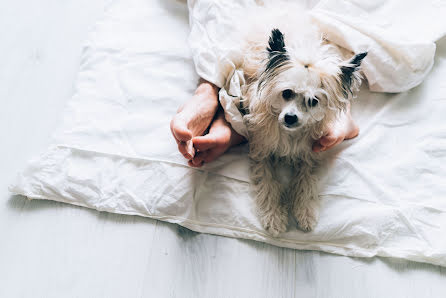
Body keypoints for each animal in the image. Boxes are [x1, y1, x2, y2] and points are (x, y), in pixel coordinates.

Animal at [235, 10, 368, 236]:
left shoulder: (309, 156)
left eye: (313, 101)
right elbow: (269, 183)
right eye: (286, 93)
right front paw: (274, 216)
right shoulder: (262, 154)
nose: (290, 118)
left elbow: (306, 182)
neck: (290, 134)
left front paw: (305, 211)